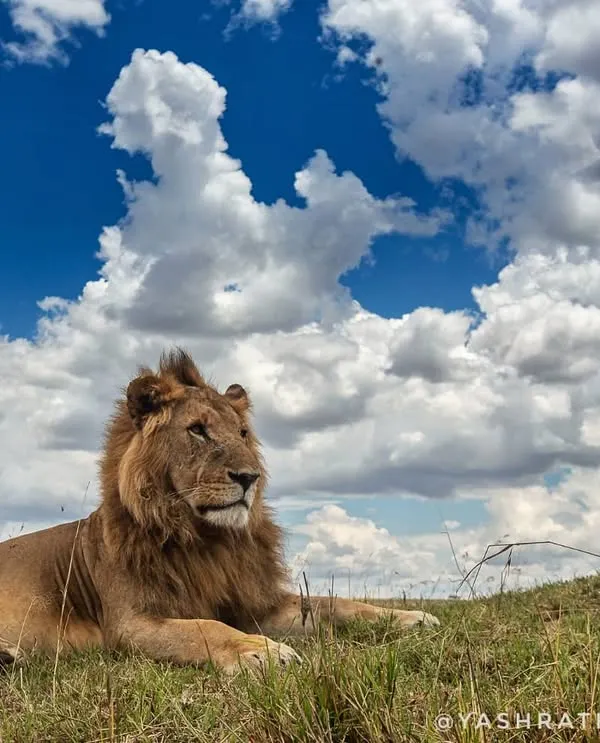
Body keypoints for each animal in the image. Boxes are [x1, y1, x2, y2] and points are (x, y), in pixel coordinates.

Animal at [0, 349, 439, 672]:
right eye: (197, 430)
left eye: (242, 433)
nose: (250, 477)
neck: (207, 540)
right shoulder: (128, 625)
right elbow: (204, 628)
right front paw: (262, 650)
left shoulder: (253, 603)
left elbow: (332, 603)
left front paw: (411, 618)